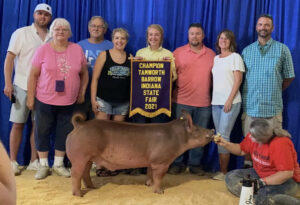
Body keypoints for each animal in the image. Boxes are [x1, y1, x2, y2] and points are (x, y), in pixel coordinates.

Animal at [66, 110, 214, 197]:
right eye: (197, 129)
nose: (211, 130)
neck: (177, 137)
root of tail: (79, 125)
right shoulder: (161, 161)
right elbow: (159, 177)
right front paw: (160, 192)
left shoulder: (151, 161)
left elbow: (150, 173)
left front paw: (148, 184)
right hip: (80, 156)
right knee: (76, 174)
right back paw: (78, 195)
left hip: (88, 158)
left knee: (85, 173)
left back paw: (93, 187)